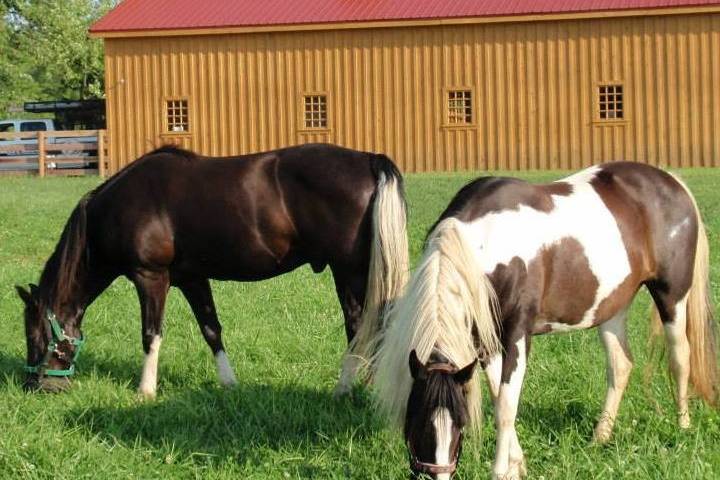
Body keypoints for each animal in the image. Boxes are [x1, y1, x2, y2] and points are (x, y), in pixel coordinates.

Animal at [16, 142, 408, 398]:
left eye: (33, 336)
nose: (37, 386)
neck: (119, 207)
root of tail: (369, 160)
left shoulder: (150, 277)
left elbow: (151, 334)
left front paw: (146, 390)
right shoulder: (192, 279)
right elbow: (211, 330)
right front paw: (229, 383)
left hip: (350, 272)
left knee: (361, 326)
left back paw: (346, 388)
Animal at [374, 163, 716, 478]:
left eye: (460, 422)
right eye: (414, 420)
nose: (438, 474)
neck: (483, 245)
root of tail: (671, 181)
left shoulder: (517, 335)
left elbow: (506, 406)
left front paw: (501, 471)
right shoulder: (485, 341)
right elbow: (499, 397)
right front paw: (517, 464)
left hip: (672, 297)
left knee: (680, 358)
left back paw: (682, 426)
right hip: (611, 307)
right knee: (620, 365)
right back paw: (599, 437)